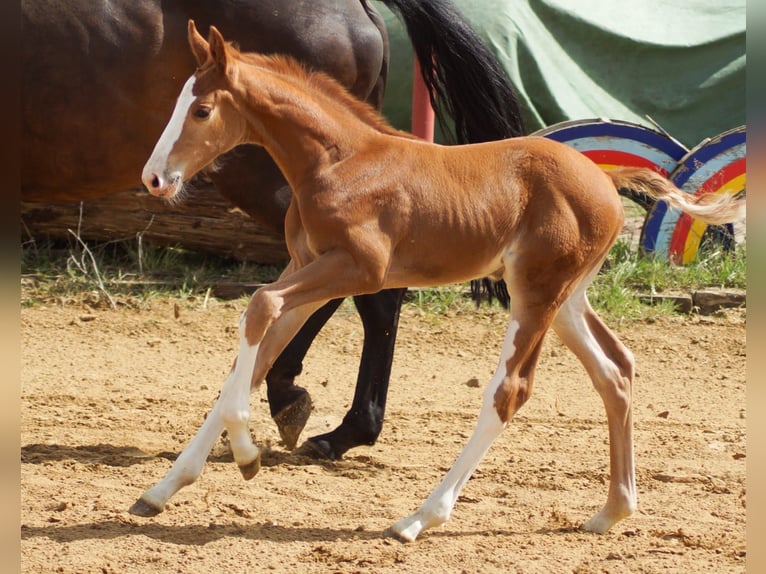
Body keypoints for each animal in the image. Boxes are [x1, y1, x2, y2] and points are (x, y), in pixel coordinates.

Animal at [132, 22, 744, 539]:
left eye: (202, 110)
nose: (154, 178)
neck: (338, 162)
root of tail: (605, 179)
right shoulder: (302, 265)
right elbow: (252, 358)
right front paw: (162, 489)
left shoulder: (358, 268)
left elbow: (258, 308)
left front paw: (247, 455)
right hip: (566, 298)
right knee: (615, 370)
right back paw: (613, 509)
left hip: (536, 292)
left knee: (510, 391)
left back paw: (419, 517)